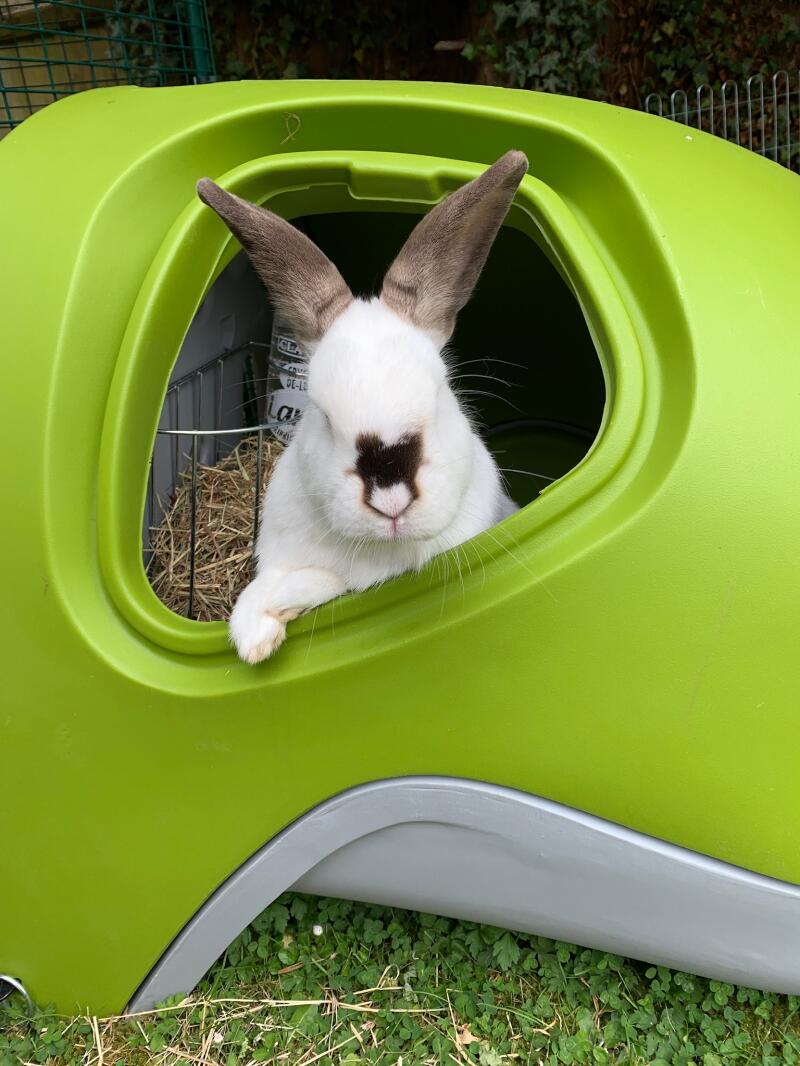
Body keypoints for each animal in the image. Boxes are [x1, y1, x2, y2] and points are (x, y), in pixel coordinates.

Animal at [196, 150, 528, 663]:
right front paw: (254, 635)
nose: (391, 500)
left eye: (441, 391)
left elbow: (322, 583)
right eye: (322, 414)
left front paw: (264, 620)